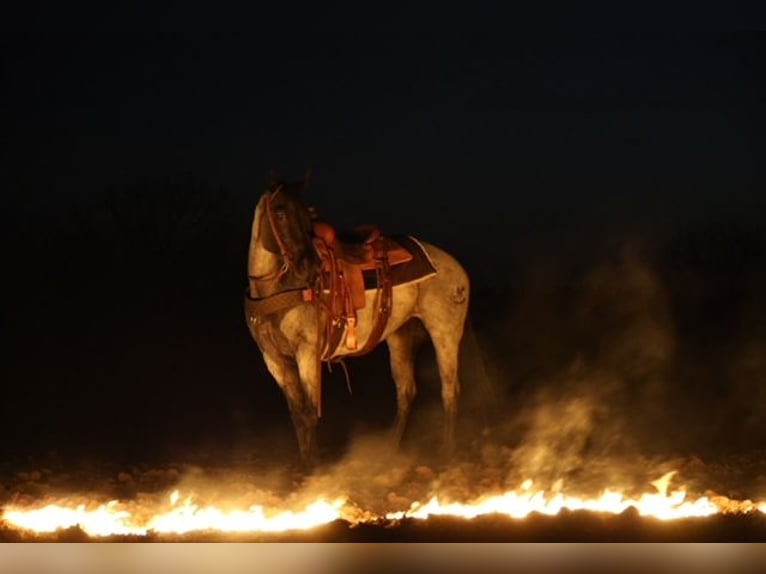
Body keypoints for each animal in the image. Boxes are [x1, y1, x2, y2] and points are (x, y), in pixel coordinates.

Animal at [244, 171, 470, 467]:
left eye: (306, 213)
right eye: (280, 212)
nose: (310, 268)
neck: (276, 289)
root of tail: (456, 268)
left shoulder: (307, 352)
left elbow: (309, 413)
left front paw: (313, 468)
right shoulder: (274, 360)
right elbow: (297, 416)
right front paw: (304, 465)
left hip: (445, 334)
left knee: (450, 390)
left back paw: (447, 453)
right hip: (401, 337)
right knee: (406, 392)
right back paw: (390, 451)